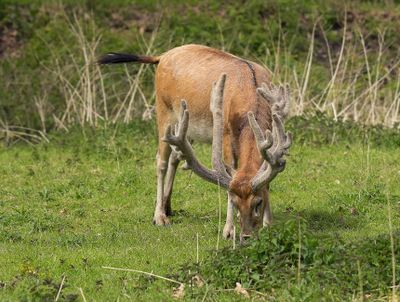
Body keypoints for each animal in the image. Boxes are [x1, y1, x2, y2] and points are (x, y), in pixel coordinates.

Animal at [98, 43, 292, 242]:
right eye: (235, 201)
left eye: (258, 202)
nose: (246, 235)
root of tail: (161, 57)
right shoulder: (225, 134)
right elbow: (230, 171)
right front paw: (228, 230)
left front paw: (269, 223)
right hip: (164, 111)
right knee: (161, 160)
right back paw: (159, 216)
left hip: (185, 126)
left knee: (176, 157)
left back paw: (168, 207)